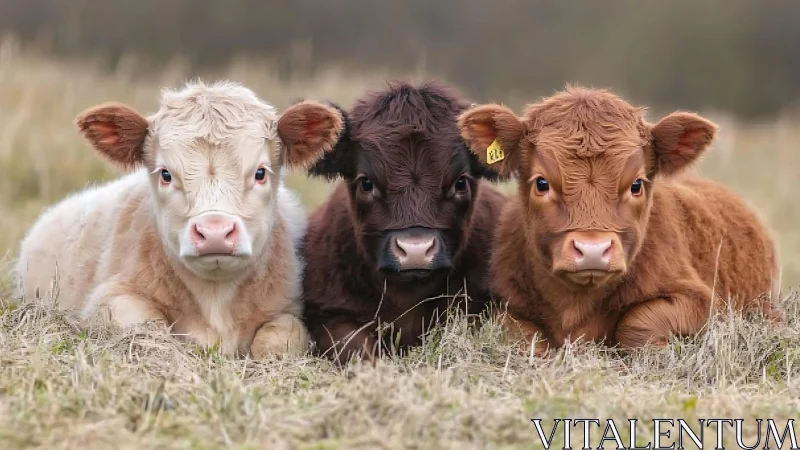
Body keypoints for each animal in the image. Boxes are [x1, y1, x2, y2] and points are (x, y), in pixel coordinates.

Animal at [14, 80, 343, 358]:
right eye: (166, 174)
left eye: (261, 172)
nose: (214, 232)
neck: (216, 299)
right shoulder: (108, 299)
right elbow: (146, 326)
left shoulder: (292, 310)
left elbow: (280, 338)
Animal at [458, 86, 781, 354]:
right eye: (541, 183)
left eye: (636, 184)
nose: (593, 250)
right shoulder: (503, 304)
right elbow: (521, 335)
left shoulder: (702, 301)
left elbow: (638, 321)